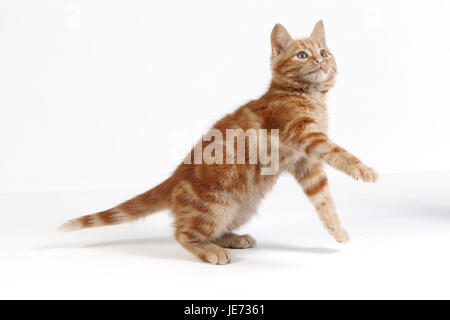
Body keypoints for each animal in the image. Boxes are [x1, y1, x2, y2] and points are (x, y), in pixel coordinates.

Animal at [59, 21, 376, 264]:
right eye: (301, 55)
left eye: (324, 52)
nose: (321, 60)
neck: (308, 97)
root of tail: (174, 179)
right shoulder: (307, 137)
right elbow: (340, 153)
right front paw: (365, 170)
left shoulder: (306, 164)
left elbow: (324, 200)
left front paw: (337, 230)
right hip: (215, 206)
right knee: (183, 233)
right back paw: (210, 251)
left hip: (242, 207)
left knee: (211, 229)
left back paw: (233, 239)